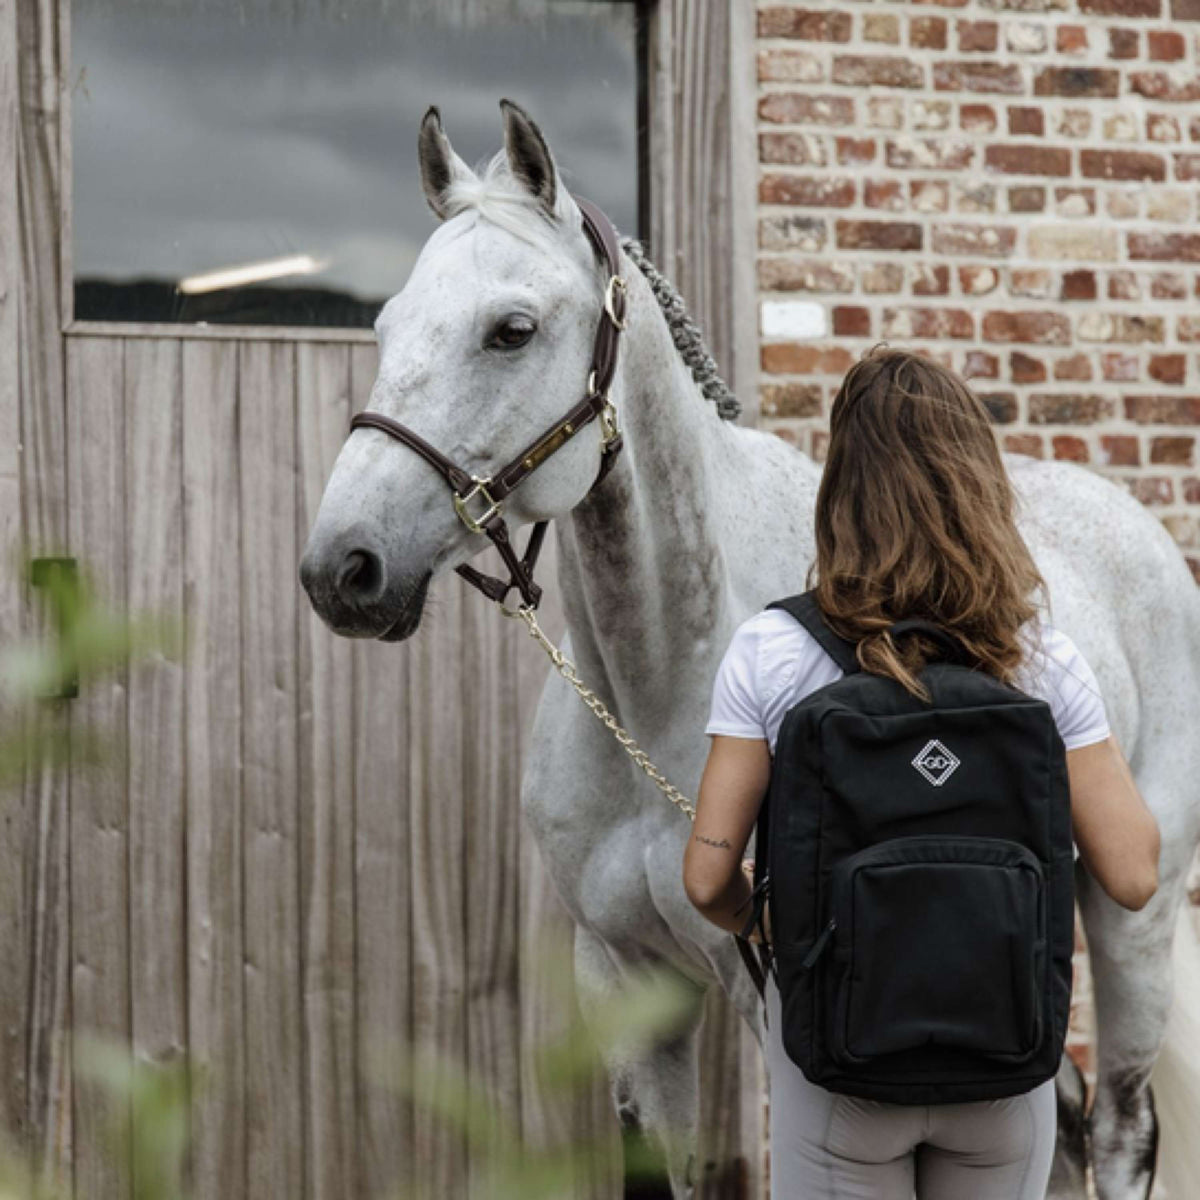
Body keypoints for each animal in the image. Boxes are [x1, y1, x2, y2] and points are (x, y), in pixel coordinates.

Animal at [302, 103, 1200, 1200]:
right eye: (386, 326)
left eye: (511, 330)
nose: (343, 567)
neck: (663, 683)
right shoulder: (627, 987)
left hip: (1131, 920)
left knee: (1119, 1127)